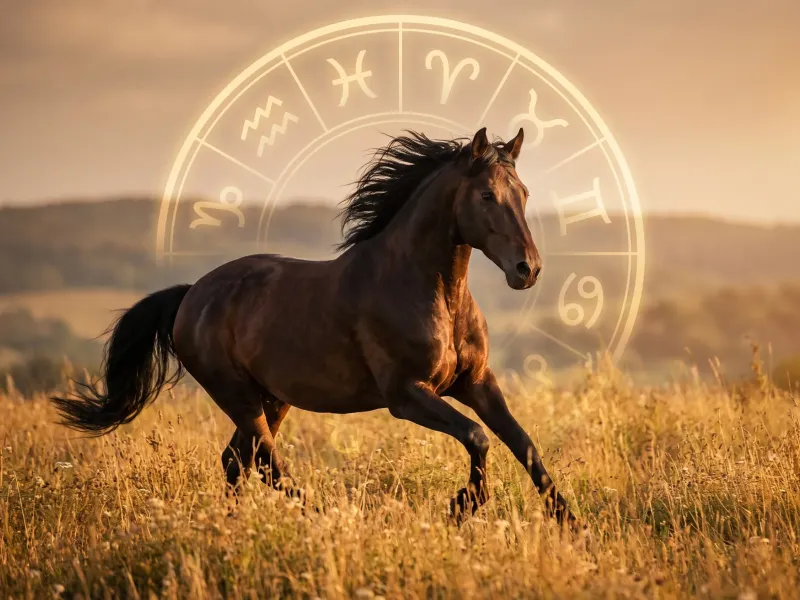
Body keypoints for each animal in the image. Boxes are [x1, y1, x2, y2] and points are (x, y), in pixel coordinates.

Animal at [51, 127, 576, 526]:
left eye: (523, 194)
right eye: (486, 195)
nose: (528, 270)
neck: (431, 290)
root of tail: (191, 295)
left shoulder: (477, 383)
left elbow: (523, 444)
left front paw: (570, 524)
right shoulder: (407, 395)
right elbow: (478, 437)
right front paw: (462, 506)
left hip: (272, 398)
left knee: (238, 461)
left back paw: (231, 527)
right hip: (238, 395)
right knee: (267, 464)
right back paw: (331, 519)